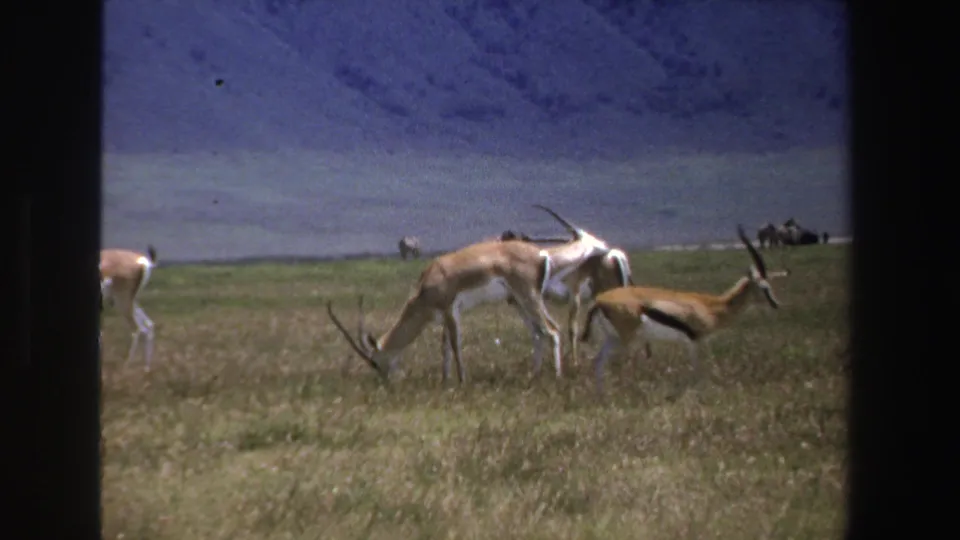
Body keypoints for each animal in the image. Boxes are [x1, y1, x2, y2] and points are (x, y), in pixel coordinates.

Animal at [327, 205, 615, 384]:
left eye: (375, 362)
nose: (385, 381)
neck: (426, 284)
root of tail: (541, 254)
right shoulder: (443, 316)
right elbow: (444, 346)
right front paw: (445, 381)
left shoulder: (450, 310)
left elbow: (455, 344)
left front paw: (462, 381)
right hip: (519, 302)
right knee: (539, 333)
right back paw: (534, 376)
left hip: (528, 298)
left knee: (552, 330)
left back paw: (556, 377)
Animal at [578, 225, 790, 394]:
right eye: (765, 287)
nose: (776, 304)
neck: (711, 306)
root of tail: (599, 301)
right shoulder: (694, 341)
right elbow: (697, 372)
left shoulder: (688, 343)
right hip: (627, 340)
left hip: (613, 339)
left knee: (598, 361)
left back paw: (602, 395)